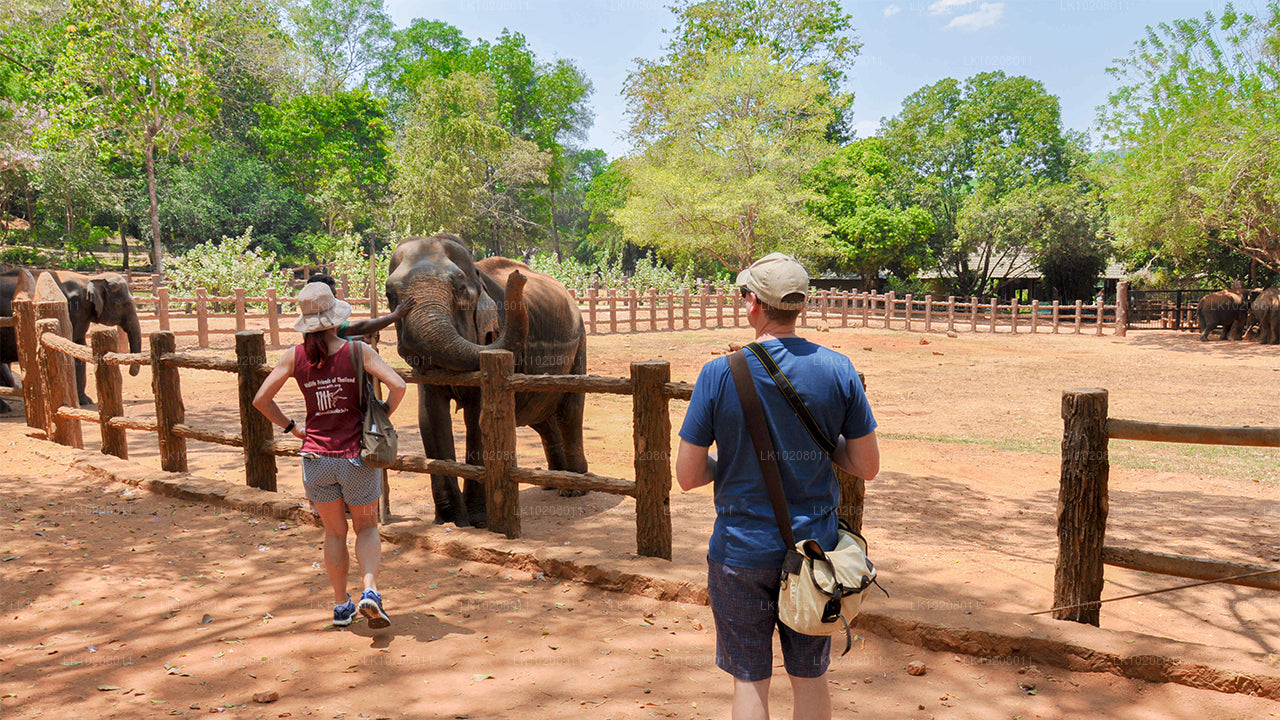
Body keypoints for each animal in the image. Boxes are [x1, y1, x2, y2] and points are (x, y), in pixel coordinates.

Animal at [0, 269, 142, 407]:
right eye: (124, 304)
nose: (131, 372)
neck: (89, 279)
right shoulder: (71, 310)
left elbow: (78, 348)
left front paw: (85, 401)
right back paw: (5, 408)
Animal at [386, 233, 591, 525]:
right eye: (390, 296)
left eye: (460, 288)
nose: (518, 278)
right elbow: (430, 417)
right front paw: (448, 519)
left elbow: (479, 417)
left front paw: (477, 519)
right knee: (542, 417)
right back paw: (552, 483)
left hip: (579, 343)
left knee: (570, 410)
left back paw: (573, 488)